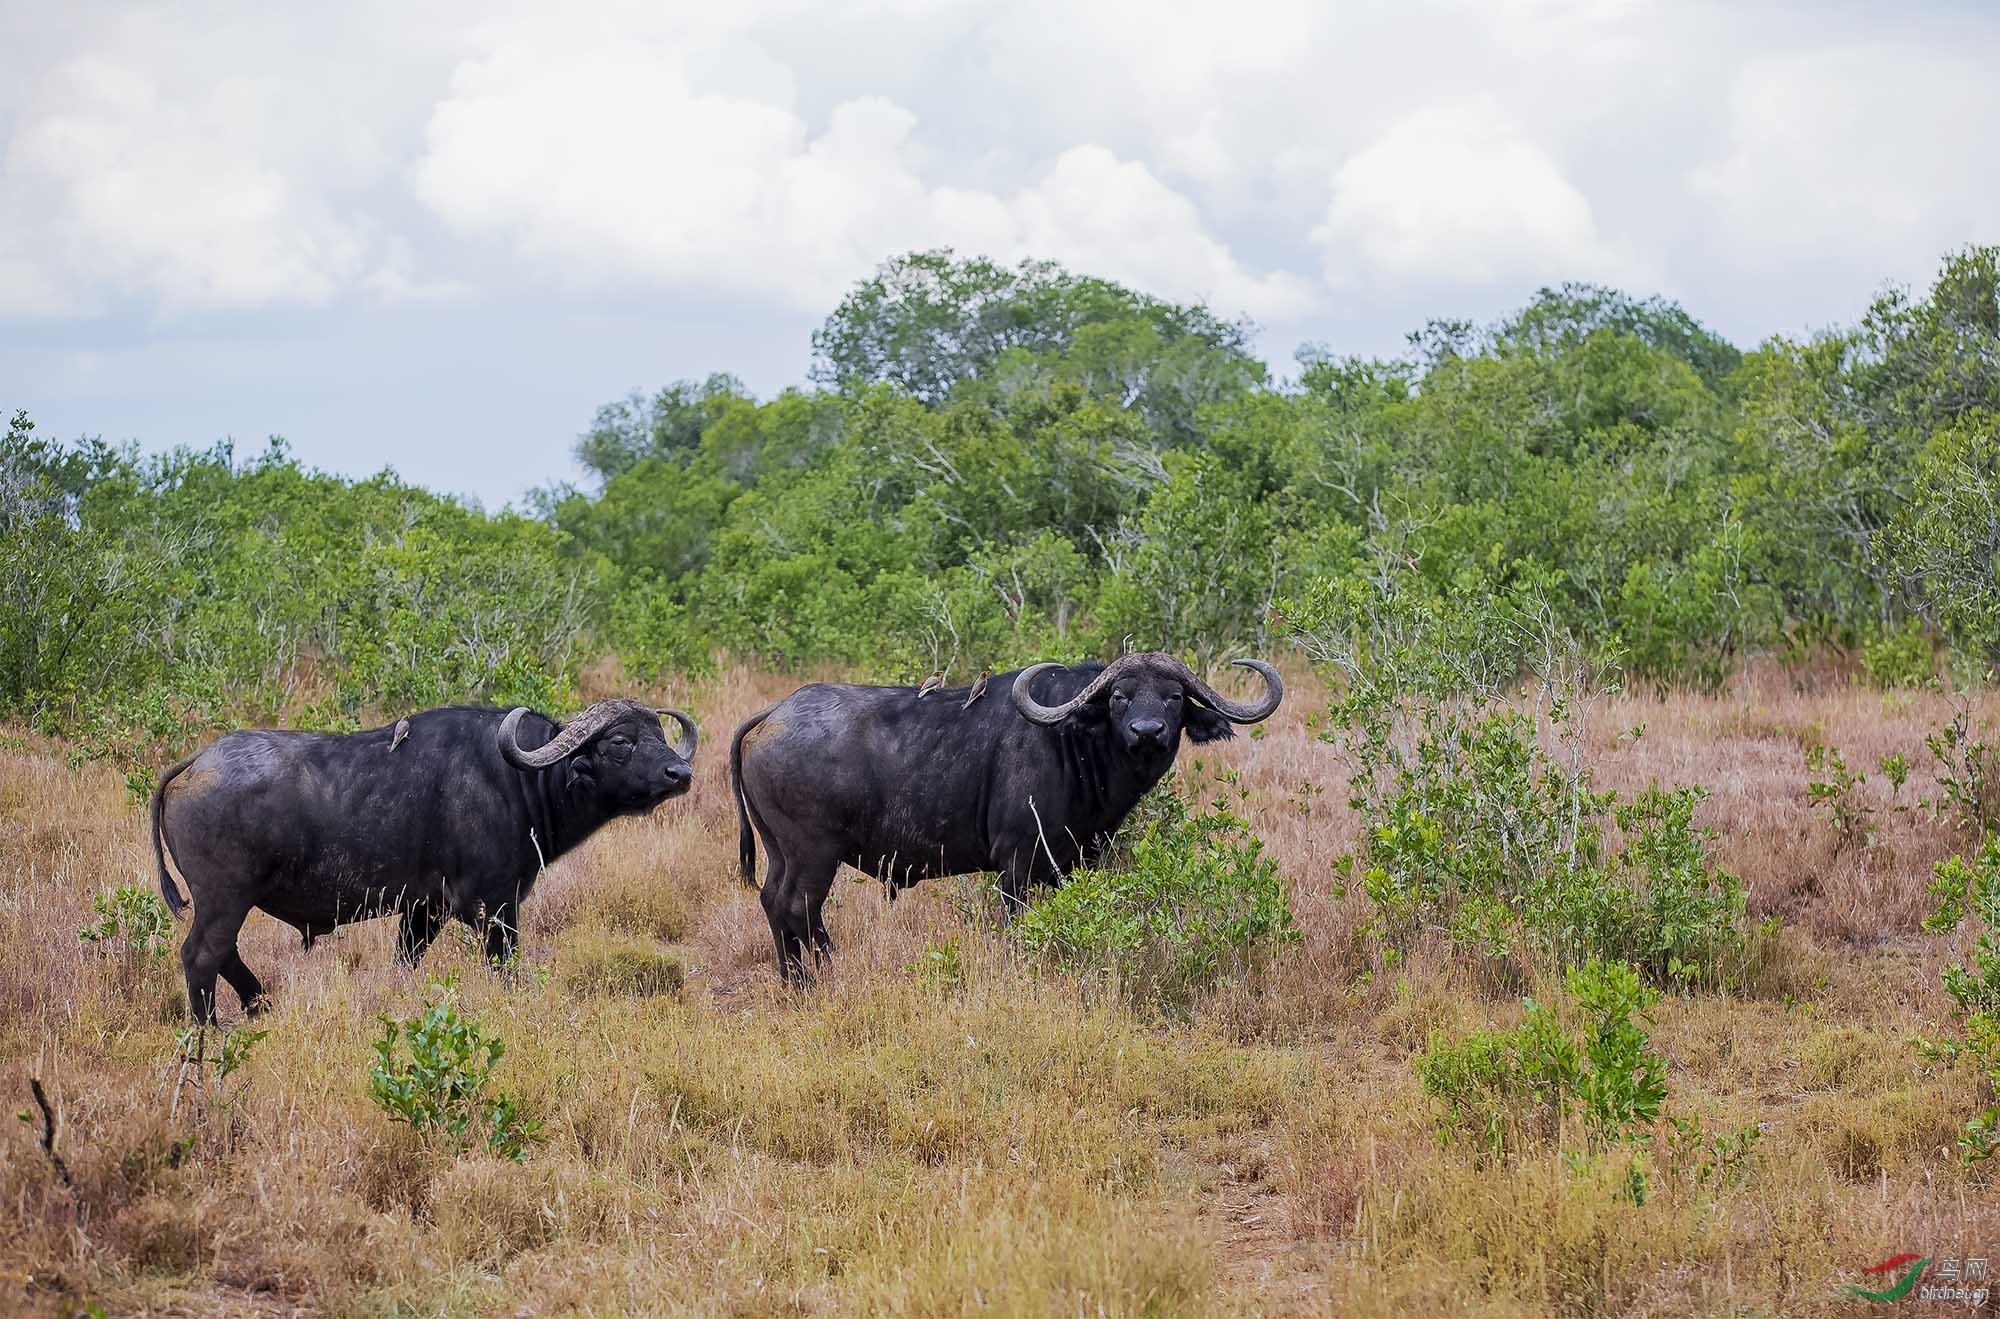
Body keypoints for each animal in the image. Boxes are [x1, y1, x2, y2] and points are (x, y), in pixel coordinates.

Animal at [150, 699, 696, 1019]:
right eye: (622, 742)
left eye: (661, 736)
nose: (680, 772)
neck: (515, 780)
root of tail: (195, 764)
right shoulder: (493, 907)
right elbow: (506, 969)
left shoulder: (422, 911)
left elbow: (405, 962)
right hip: (224, 898)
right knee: (202, 956)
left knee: (224, 955)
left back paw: (259, 1005)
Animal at [732, 651, 1280, 979]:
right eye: (1120, 697)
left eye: (1173, 697)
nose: (1148, 731)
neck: (1074, 742)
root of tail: (774, 714)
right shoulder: (1016, 864)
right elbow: (1019, 925)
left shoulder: (1073, 863)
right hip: (813, 854)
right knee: (799, 907)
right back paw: (819, 975)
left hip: (782, 852)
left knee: (774, 902)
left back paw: (793, 980)